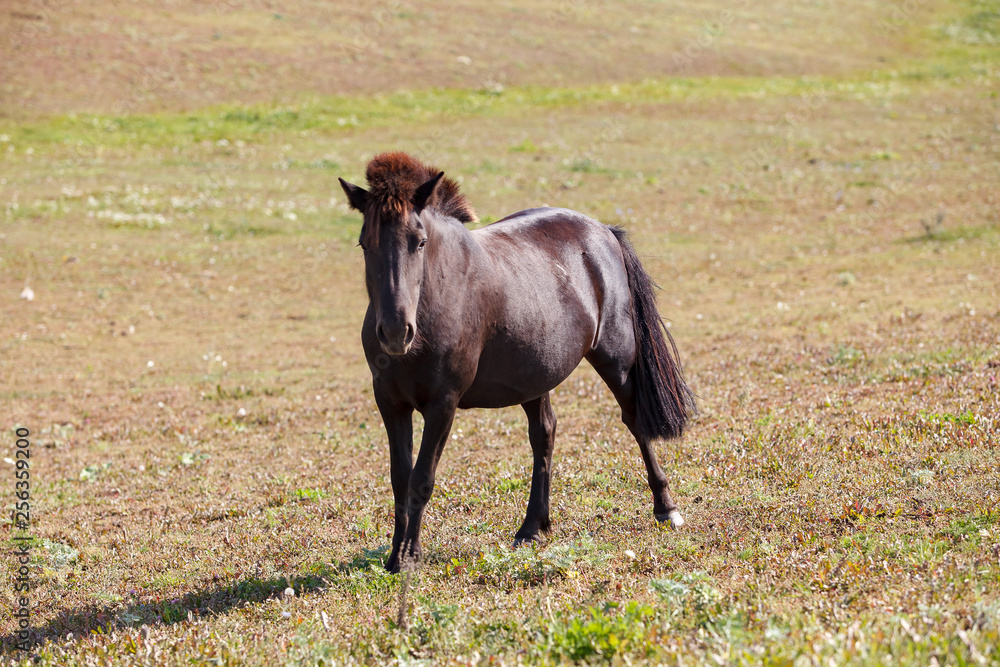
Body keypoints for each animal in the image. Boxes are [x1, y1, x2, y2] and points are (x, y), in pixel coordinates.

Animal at [339, 152, 696, 573]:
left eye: (420, 242)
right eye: (365, 244)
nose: (396, 332)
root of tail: (603, 231)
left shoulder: (443, 404)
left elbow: (421, 478)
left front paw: (409, 556)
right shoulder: (390, 402)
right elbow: (399, 478)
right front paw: (396, 556)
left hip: (616, 359)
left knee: (635, 421)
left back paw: (665, 507)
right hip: (535, 376)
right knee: (544, 434)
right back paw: (532, 527)